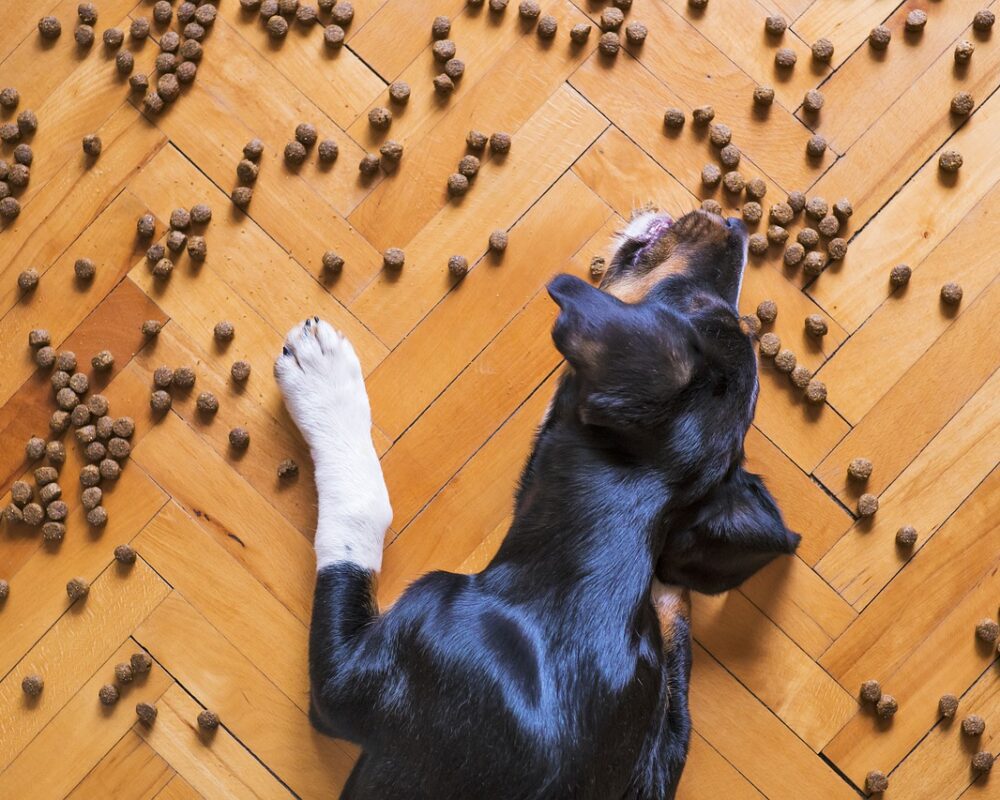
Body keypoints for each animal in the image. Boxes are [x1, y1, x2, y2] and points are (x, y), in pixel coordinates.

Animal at [276, 209, 804, 796]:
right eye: (712, 308)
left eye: (691, 305)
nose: (733, 223)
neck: (578, 579)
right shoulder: (659, 744)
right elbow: (674, 663)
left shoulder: (346, 683)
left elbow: (360, 514)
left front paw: (323, 379)